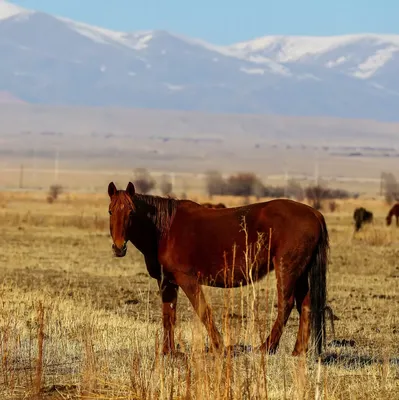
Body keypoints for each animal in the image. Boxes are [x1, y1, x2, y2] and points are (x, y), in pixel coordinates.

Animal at [108, 181, 330, 356]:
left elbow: (203, 311)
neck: (164, 229)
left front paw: (219, 347)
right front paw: (168, 351)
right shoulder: (167, 281)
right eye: (111, 211)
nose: (119, 247)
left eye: (131, 212)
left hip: (287, 269)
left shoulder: (186, 279)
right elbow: (168, 315)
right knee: (305, 305)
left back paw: (266, 347)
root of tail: (315, 213)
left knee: (286, 304)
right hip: (300, 272)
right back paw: (298, 351)